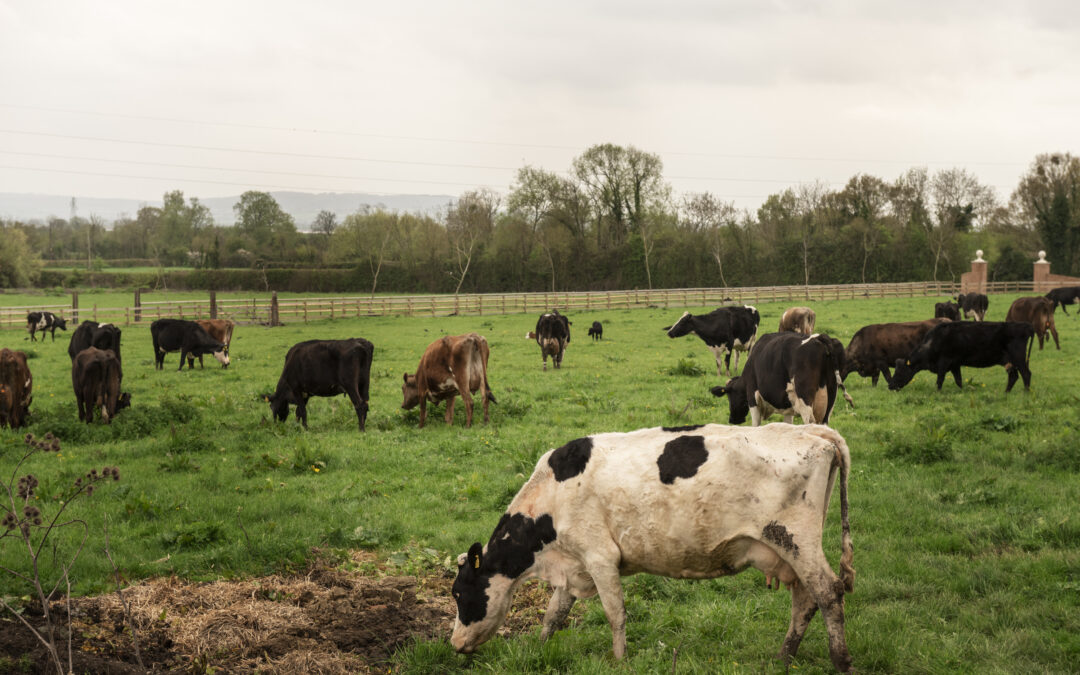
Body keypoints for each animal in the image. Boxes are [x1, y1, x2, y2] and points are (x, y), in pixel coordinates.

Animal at [449, 423, 855, 672]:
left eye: (458, 593)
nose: (454, 643)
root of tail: (811, 430)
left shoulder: (599, 556)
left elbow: (615, 613)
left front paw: (620, 660)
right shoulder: (574, 565)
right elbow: (554, 615)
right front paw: (538, 648)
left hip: (796, 539)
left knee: (827, 592)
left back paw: (841, 660)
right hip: (791, 551)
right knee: (804, 599)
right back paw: (783, 657)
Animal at [710, 332, 841, 426]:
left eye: (729, 396)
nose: (732, 420)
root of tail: (819, 337)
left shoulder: (752, 398)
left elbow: (755, 426)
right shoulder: (789, 408)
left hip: (805, 402)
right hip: (829, 404)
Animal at [889, 321, 1034, 392]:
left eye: (900, 372)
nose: (890, 386)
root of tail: (1025, 326)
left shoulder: (944, 363)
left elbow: (939, 380)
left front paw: (937, 393)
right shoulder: (955, 364)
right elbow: (958, 380)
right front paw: (963, 391)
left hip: (1018, 357)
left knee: (1026, 374)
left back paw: (1026, 393)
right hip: (1008, 361)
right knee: (1013, 376)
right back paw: (1006, 392)